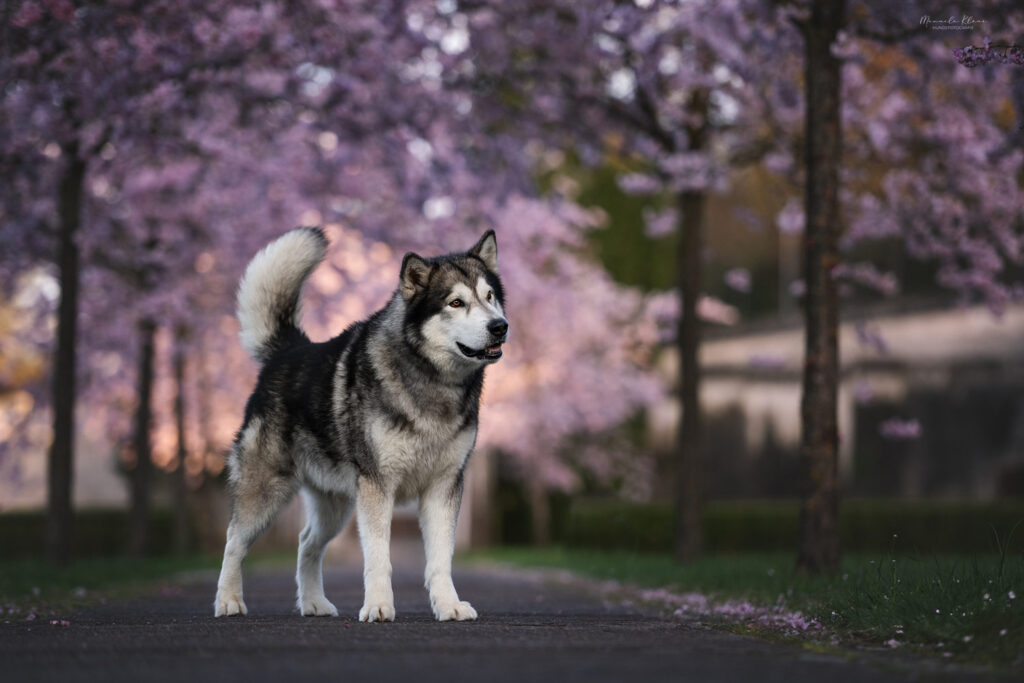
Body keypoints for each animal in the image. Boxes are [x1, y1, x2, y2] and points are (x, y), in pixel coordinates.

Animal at [212, 227, 507, 622]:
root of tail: (289, 350)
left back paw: (314, 603)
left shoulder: (444, 486)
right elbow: (379, 557)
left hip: (335, 505)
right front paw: (379, 606)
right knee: (233, 540)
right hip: (265, 490)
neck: (432, 381)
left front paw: (448, 605)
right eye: (456, 303)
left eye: (490, 297)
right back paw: (228, 600)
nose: (500, 326)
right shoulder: (378, 486)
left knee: (307, 543)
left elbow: (440, 560)